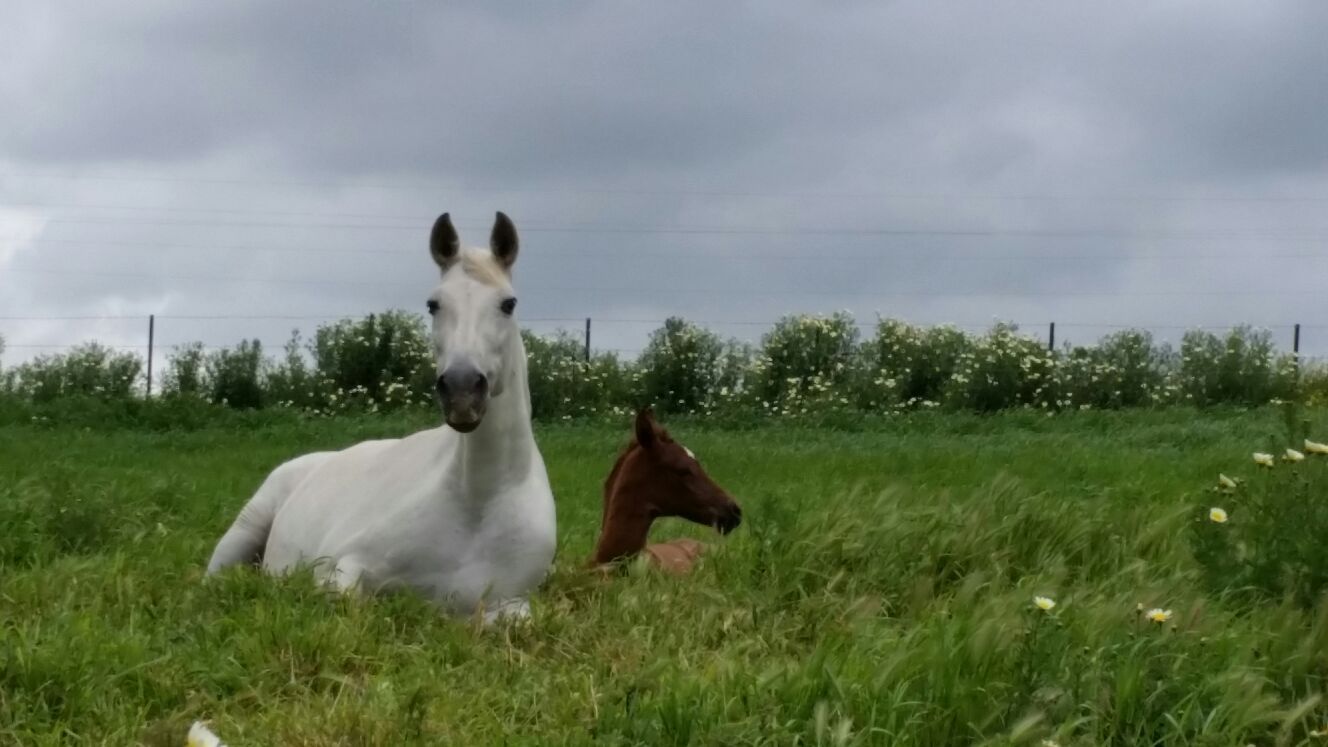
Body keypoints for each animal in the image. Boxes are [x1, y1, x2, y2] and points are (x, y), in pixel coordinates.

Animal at [205, 211, 555, 622]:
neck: (477, 502)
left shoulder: (511, 603)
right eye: (433, 304)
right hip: (245, 529)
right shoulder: (346, 564)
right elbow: (348, 599)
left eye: (508, 304)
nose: (462, 390)